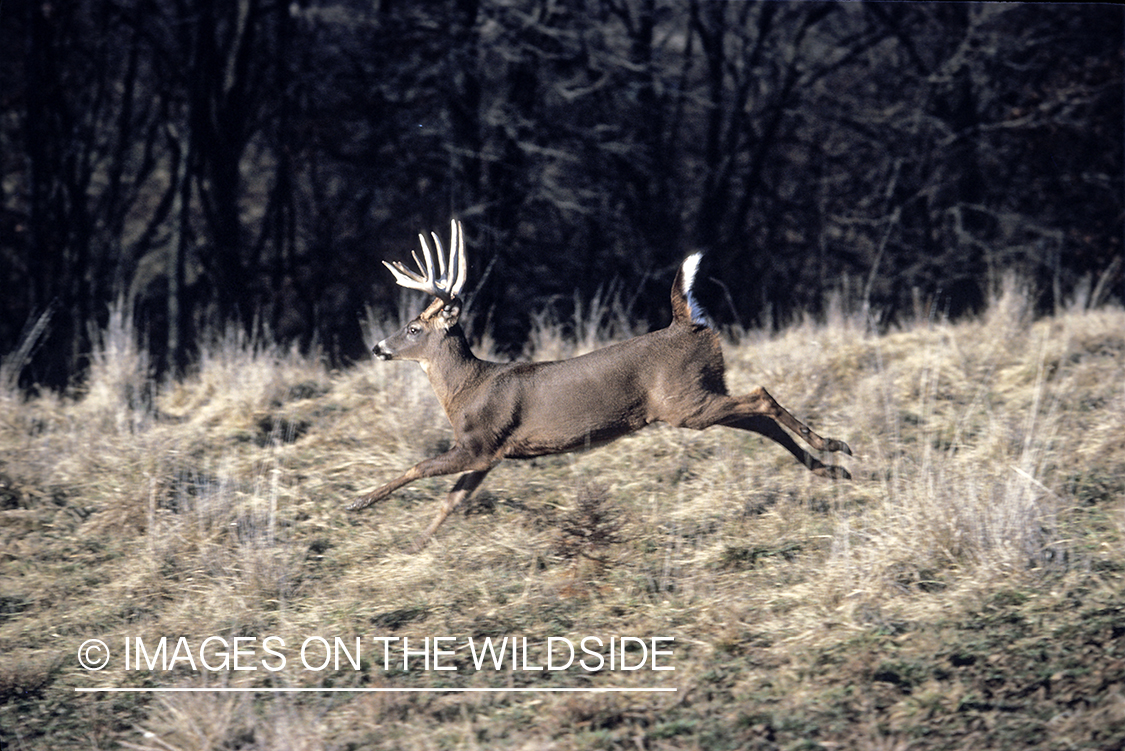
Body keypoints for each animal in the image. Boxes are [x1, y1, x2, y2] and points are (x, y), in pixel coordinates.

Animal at [351, 219, 851, 551]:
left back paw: (836, 447)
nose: (377, 346)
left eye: (413, 328)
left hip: (682, 402)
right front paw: (417, 544)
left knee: (761, 398)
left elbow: (420, 468)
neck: (465, 391)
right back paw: (830, 469)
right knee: (756, 417)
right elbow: (452, 501)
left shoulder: (480, 443)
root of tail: (689, 323)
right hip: (699, 393)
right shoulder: (491, 455)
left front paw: (359, 503)